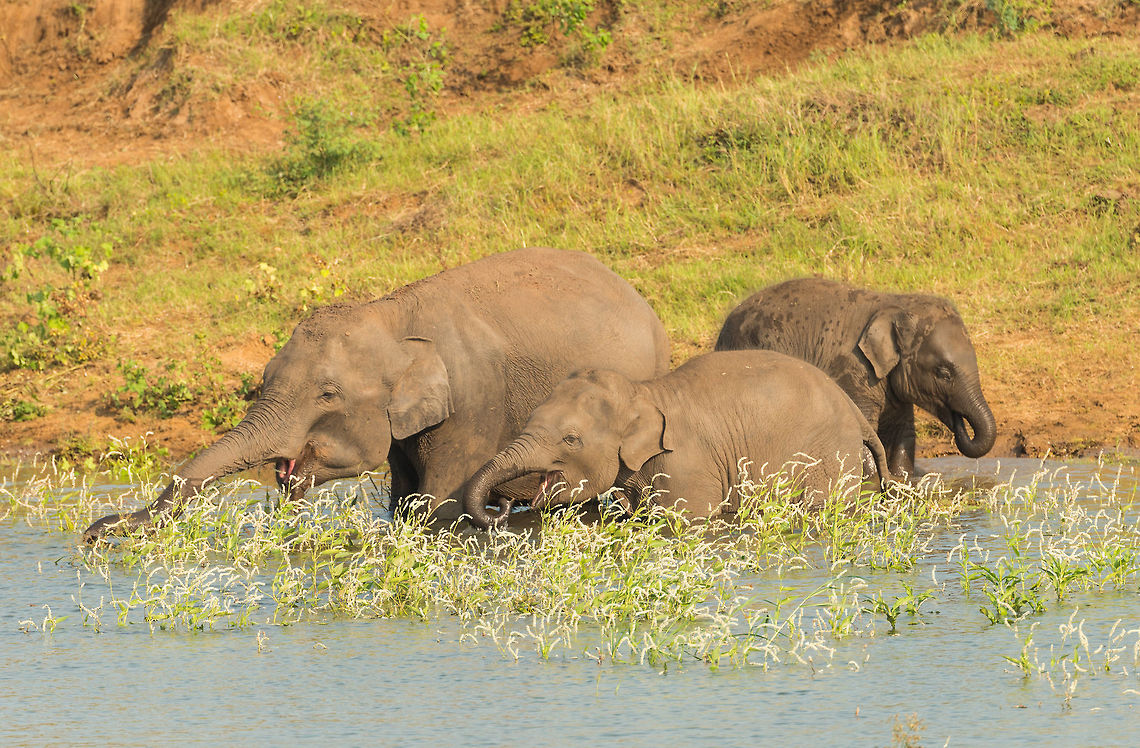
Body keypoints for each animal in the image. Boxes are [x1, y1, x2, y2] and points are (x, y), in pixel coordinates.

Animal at [82, 247, 670, 542]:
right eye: (266, 376)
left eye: (327, 394)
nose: (96, 531)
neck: (392, 314)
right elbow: (403, 495)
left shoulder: (474, 401)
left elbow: (439, 505)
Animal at [463, 350, 890, 530]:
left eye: (570, 439)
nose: (503, 506)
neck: (643, 391)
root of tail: (852, 409)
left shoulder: (688, 463)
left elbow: (686, 516)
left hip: (827, 455)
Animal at [714, 278, 996, 479]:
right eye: (943, 373)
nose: (959, 421)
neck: (894, 306)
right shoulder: (853, 369)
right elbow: (863, 433)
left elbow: (903, 434)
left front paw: (902, 478)